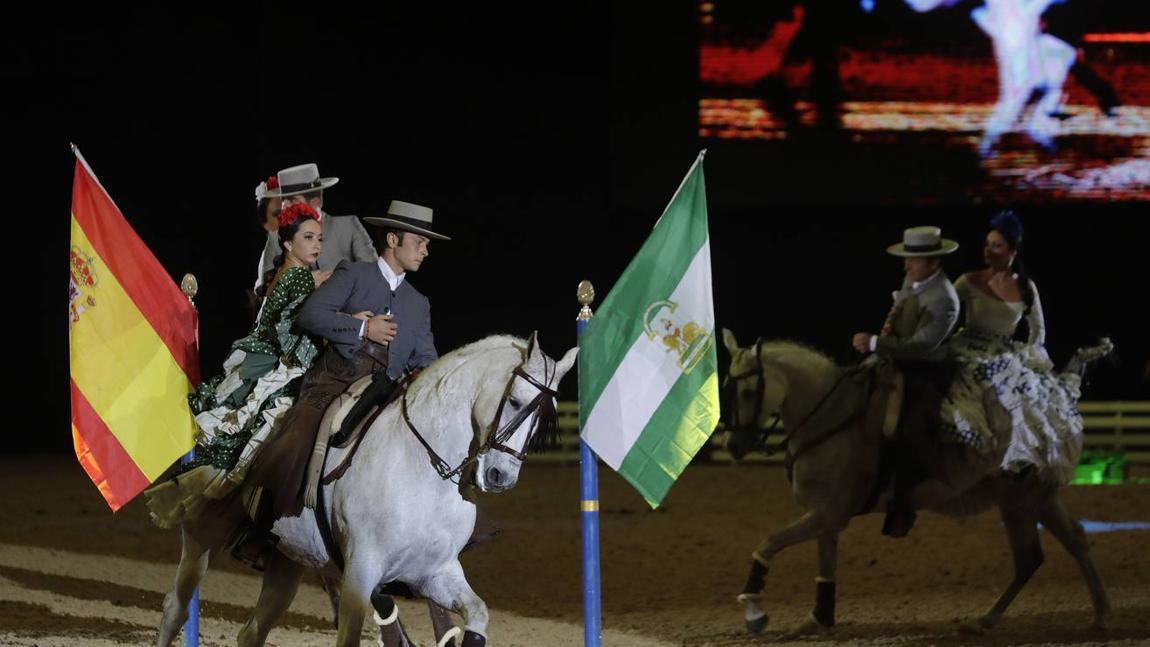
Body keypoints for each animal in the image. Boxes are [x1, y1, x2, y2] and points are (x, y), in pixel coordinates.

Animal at [157, 333, 579, 647]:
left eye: (541, 417)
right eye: (515, 401)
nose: (499, 476)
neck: (422, 470)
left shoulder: (435, 573)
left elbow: (477, 613)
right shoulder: (360, 576)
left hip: (286, 562)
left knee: (251, 633)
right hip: (201, 540)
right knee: (174, 611)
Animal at [722, 333, 1108, 638]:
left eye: (749, 390)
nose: (734, 446)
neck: (832, 418)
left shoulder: (826, 514)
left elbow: (768, 543)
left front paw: (754, 611)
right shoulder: (827, 518)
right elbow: (825, 566)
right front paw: (819, 619)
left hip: (1018, 502)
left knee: (1030, 557)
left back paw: (987, 621)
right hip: (1037, 499)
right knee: (1073, 541)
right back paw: (1097, 615)